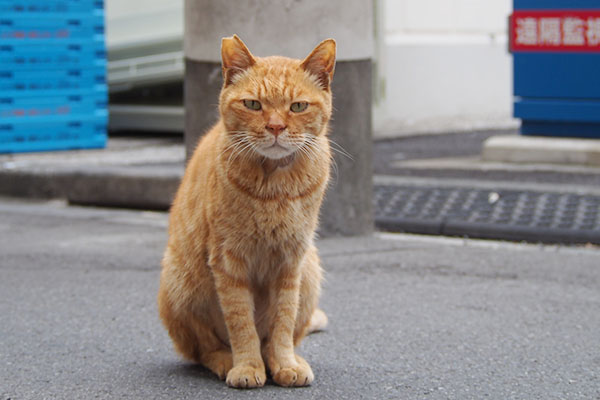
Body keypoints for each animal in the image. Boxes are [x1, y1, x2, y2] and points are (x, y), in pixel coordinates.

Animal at [159, 35, 336, 388]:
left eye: (298, 106)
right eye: (253, 105)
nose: (276, 127)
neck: (275, 188)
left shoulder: (291, 262)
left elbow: (282, 323)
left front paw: (285, 364)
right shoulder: (229, 262)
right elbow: (241, 324)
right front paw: (246, 367)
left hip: (310, 270)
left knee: (283, 336)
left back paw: (288, 360)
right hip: (181, 279)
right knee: (202, 348)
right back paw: (225, 361)